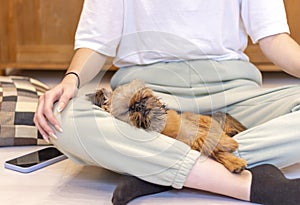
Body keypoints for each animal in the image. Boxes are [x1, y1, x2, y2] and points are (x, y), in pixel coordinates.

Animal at [88, 79, 247, 173]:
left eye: (142, 96)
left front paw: (229, 147)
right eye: (127, 110)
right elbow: (206, 143)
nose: (140, 105)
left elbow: (207, 139)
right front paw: (233, 158)